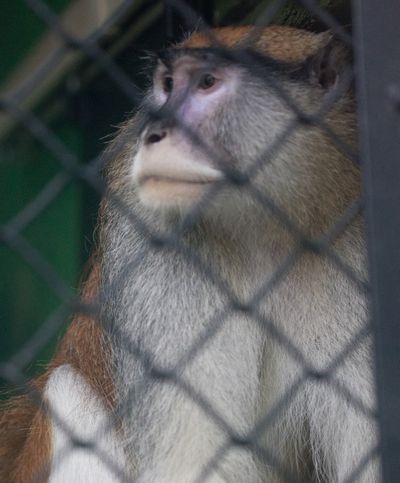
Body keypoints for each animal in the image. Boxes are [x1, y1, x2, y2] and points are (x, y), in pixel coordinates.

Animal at [0, 26, 378, 483]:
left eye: (206, 83)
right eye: (166, 86)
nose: (152, 134)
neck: (270, 226)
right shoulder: (156, 238)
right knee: (69, 391)